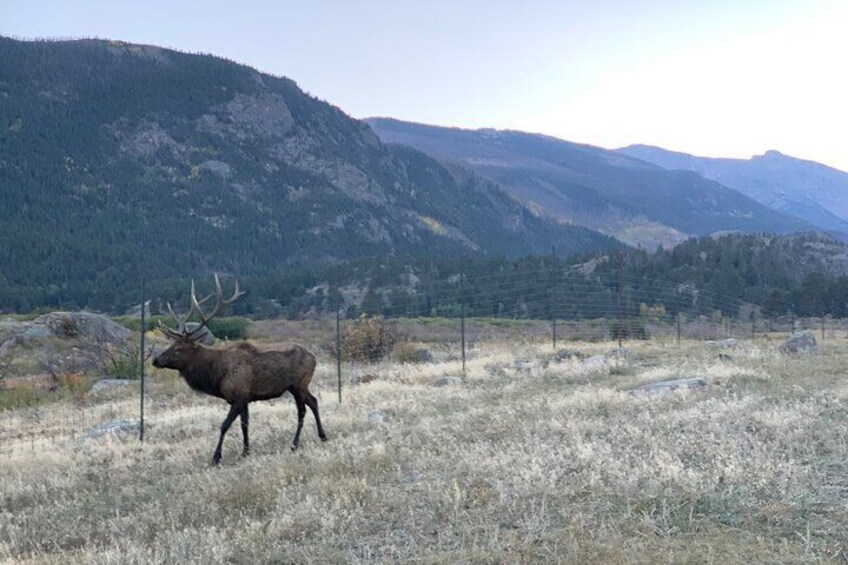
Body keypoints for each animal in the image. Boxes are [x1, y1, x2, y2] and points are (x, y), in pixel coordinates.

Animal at [152, 274, 328, 462]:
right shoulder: (244, 398)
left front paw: (216, 457)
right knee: (314, 401)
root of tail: (314, 357)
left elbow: (225, 425)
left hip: (299, 383)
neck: (217, 375)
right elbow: (245, 424)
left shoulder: (239, 396)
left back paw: (295, 444)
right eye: (171, 345)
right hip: (297, 387)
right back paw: (323, 436)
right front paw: (245, 451)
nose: (156, 360)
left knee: (302, 410)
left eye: (178, 349)